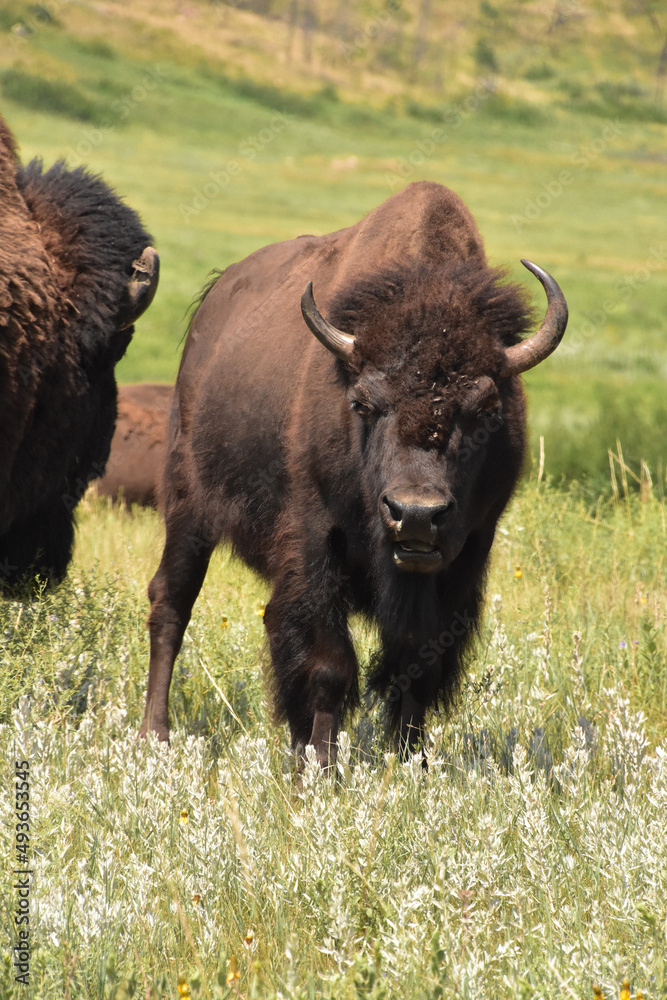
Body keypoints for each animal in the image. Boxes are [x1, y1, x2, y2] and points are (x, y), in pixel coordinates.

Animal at [142, 182, 568, 756]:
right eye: (363, 403)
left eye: (487, 409)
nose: (415, 514)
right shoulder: (315, 541)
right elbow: (328, 663)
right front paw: (319, 766)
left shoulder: (468, 553)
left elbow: (418, 666)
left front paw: (410, 763)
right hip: (189, 509)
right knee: (172, 603)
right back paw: (155, 736)